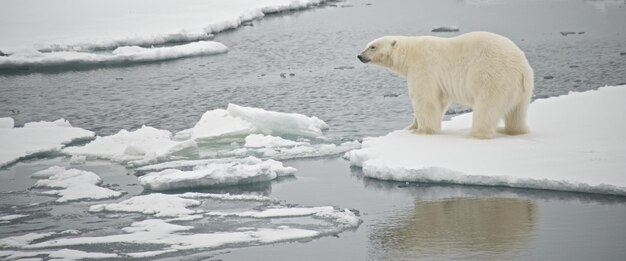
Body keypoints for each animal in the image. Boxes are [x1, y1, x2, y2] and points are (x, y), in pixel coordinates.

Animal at [356, 31, 532, 138]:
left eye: (372, 46)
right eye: (367, 45)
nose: (359, 56)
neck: (409, 53)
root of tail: (522, 69)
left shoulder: (423, 67)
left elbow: (425, 100)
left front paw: (422, 131)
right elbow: (439, 100)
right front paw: (410, 127)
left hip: (493, 77)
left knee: (486, 107)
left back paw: (475, 133)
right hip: (522, 89)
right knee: (517, 112)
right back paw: (512, 130)